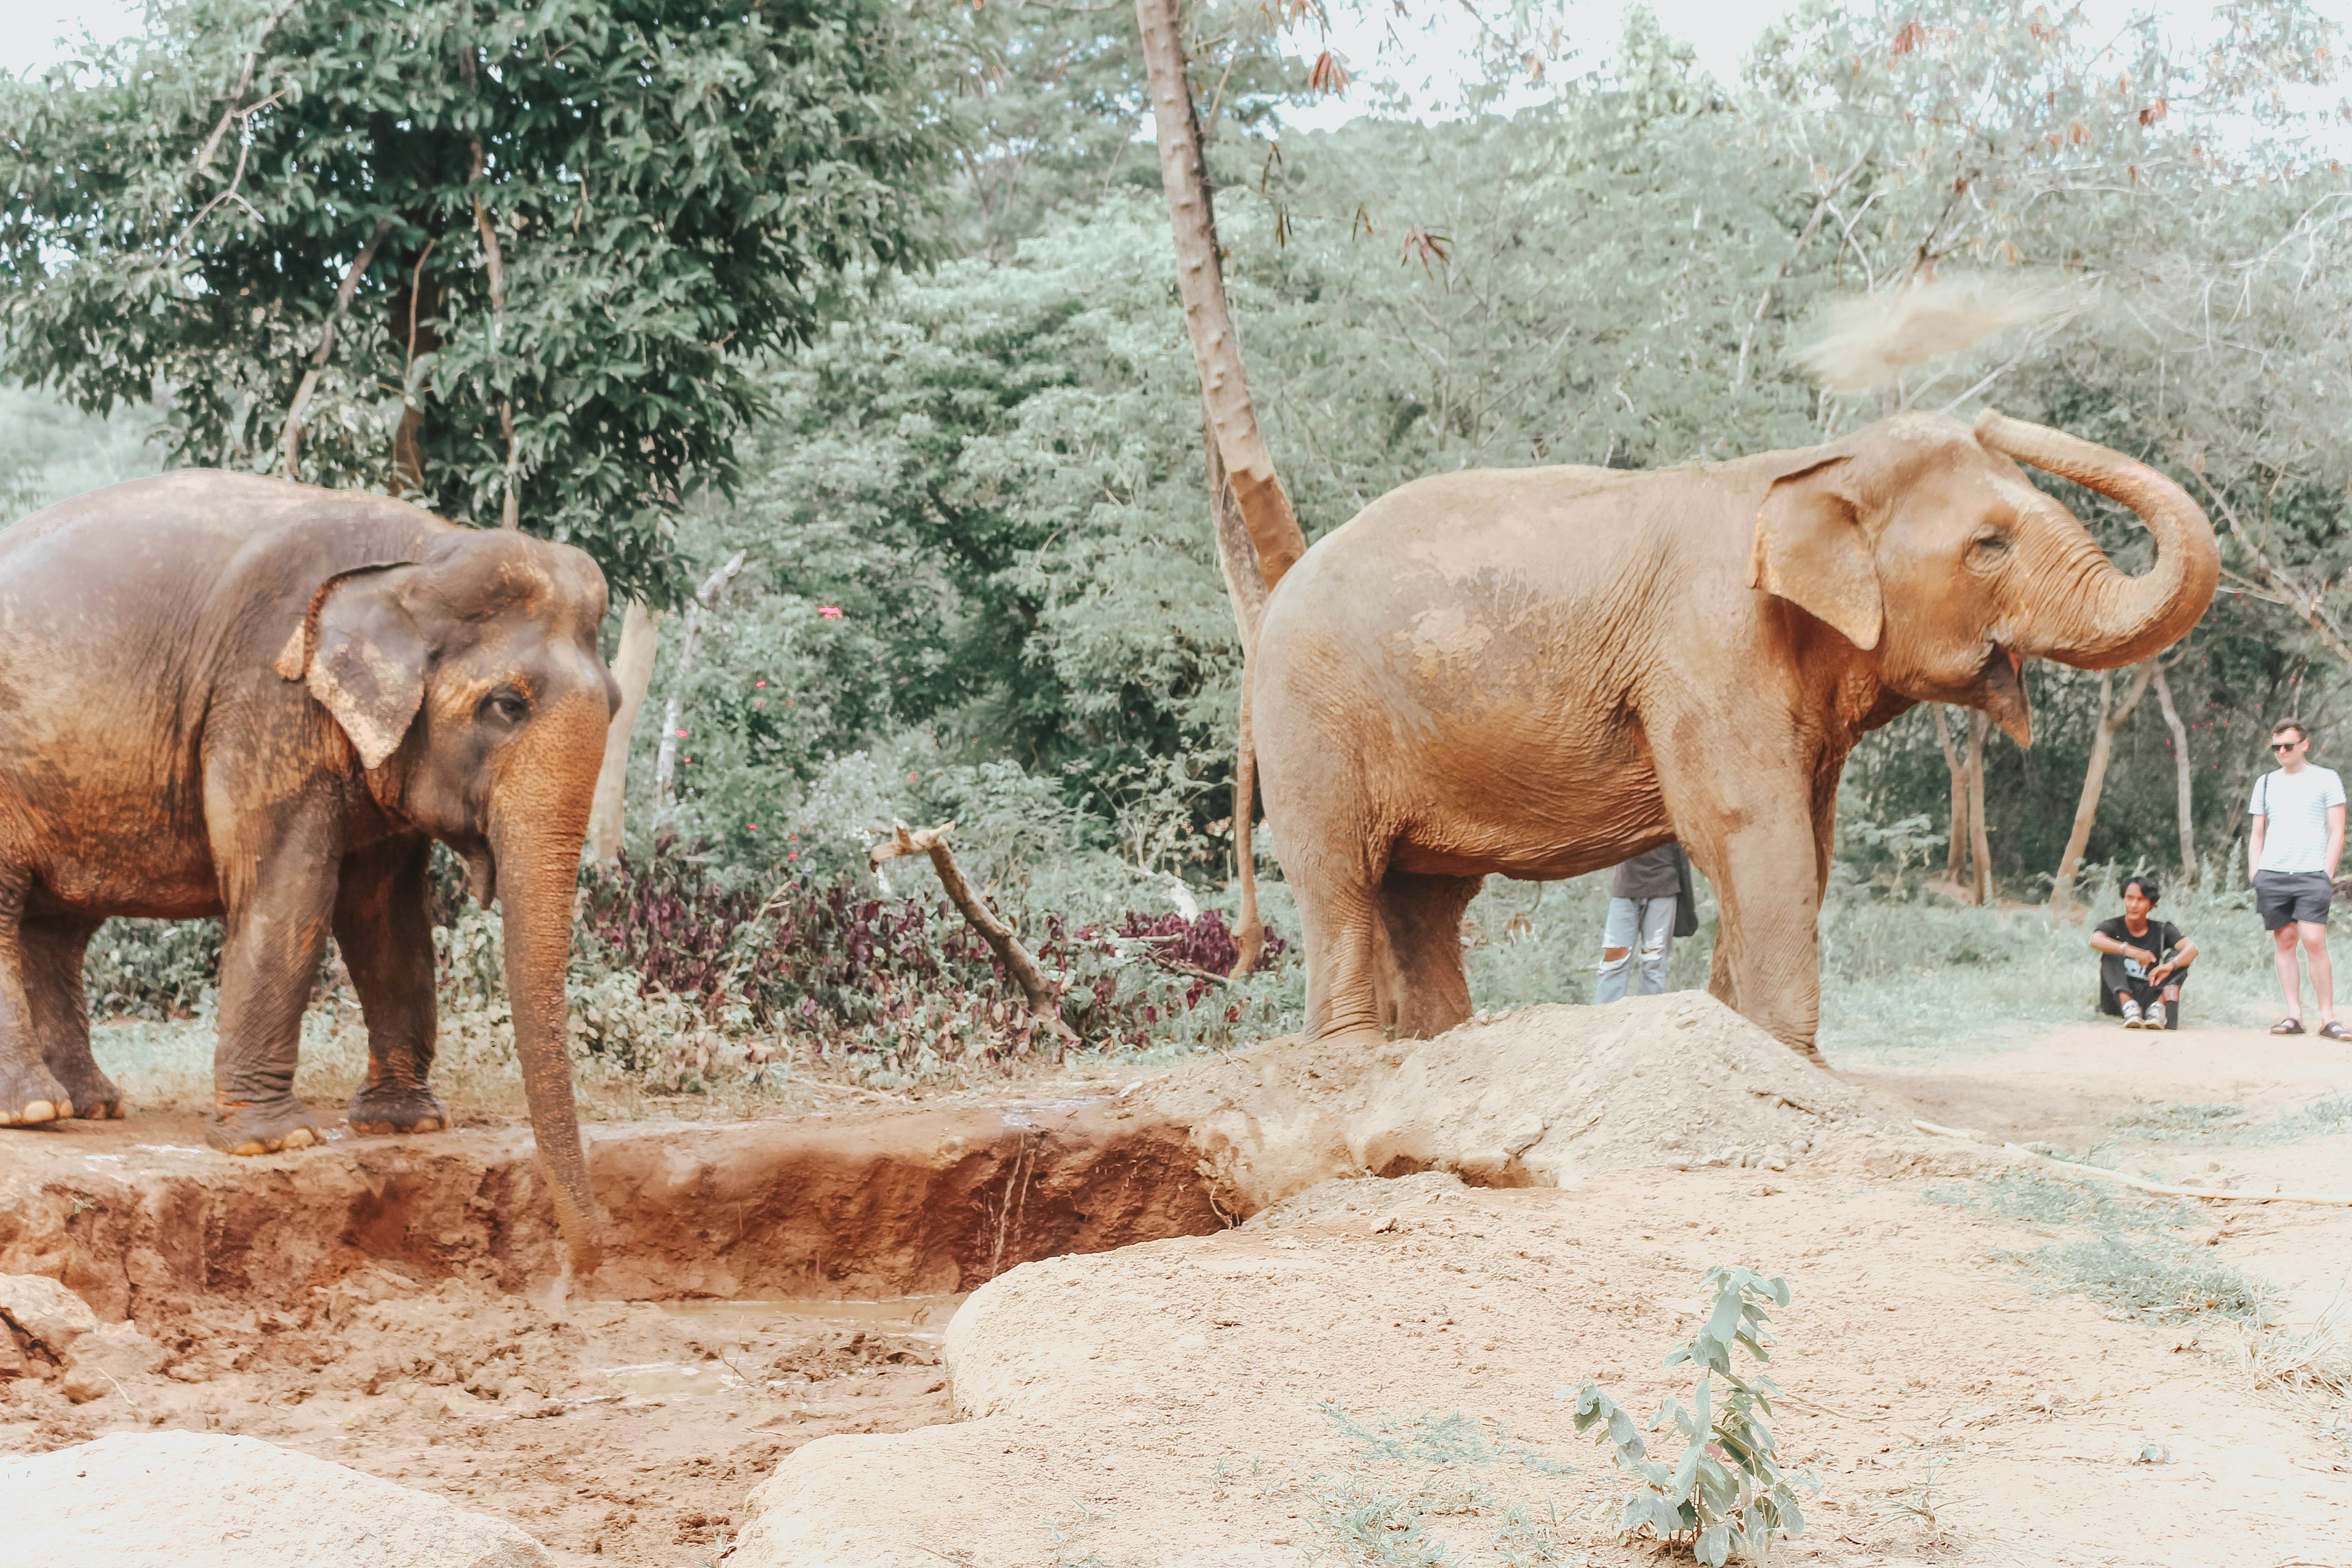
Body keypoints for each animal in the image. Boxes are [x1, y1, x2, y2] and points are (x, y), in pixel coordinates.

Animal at [0, 470, 616, 1278]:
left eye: (616, 703)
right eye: (507, 705)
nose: (591, 1264)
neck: (425, 552)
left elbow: (385, 912)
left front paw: (406, 1125)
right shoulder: (267, 695)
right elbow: (288, 885)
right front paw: (276, 1141)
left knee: (57, 927)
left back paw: (92, 1105)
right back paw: (33, 1112)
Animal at [1261, 411, 2211, 1062]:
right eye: (1990, 544)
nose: (1990, 413)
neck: (1809, 468)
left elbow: (1806, 848)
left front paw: (1744, 1042)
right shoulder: (1708, 645)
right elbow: (1753, 832)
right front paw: (1792, 1064)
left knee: (1423, 899)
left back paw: (1439, 1052)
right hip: (1312, 722)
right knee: (1340, 879)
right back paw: (1352, 1058)